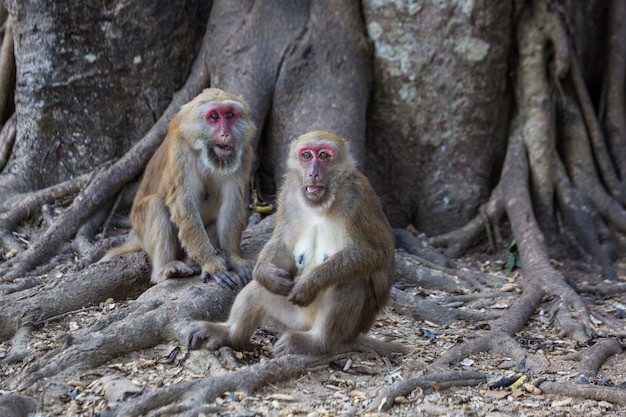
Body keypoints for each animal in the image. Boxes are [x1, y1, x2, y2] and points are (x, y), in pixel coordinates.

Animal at [103, 88, 255, 286]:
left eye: (230, 115)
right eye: (214, 116)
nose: (225, 134)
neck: (206, 153)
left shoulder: (244, 153)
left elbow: (232, 204)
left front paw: (234, 259)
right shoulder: (180, 153)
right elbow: (184, 205)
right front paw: (212, 266)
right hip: (141, 228)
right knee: (156, 205)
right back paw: (165, 270)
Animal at [183, 132, 404, 356]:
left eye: (324, 155)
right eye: (306, 155)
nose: (313, 173)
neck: (321, 203)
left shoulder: (358, 199)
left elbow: (372, 253)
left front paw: (310, 282)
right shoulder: (288, 194)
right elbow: (281, 245)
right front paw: (265, 273)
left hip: (347, 330)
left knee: (351, 279)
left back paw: (317, 341)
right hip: (289, 317)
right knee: (259, 288)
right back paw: (229, 334)